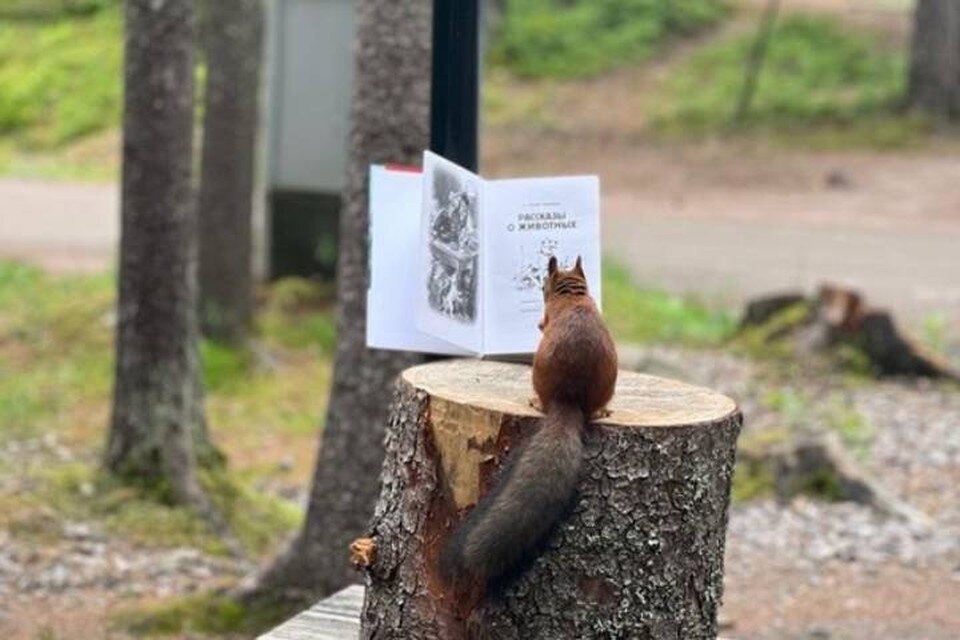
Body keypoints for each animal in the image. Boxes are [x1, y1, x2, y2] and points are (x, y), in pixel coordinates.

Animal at [440, 255, 620, 584]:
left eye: (542, 286)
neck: (573, 295)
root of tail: (568, 399)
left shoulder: (547, 317)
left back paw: (536, 401)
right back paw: (602, 411)